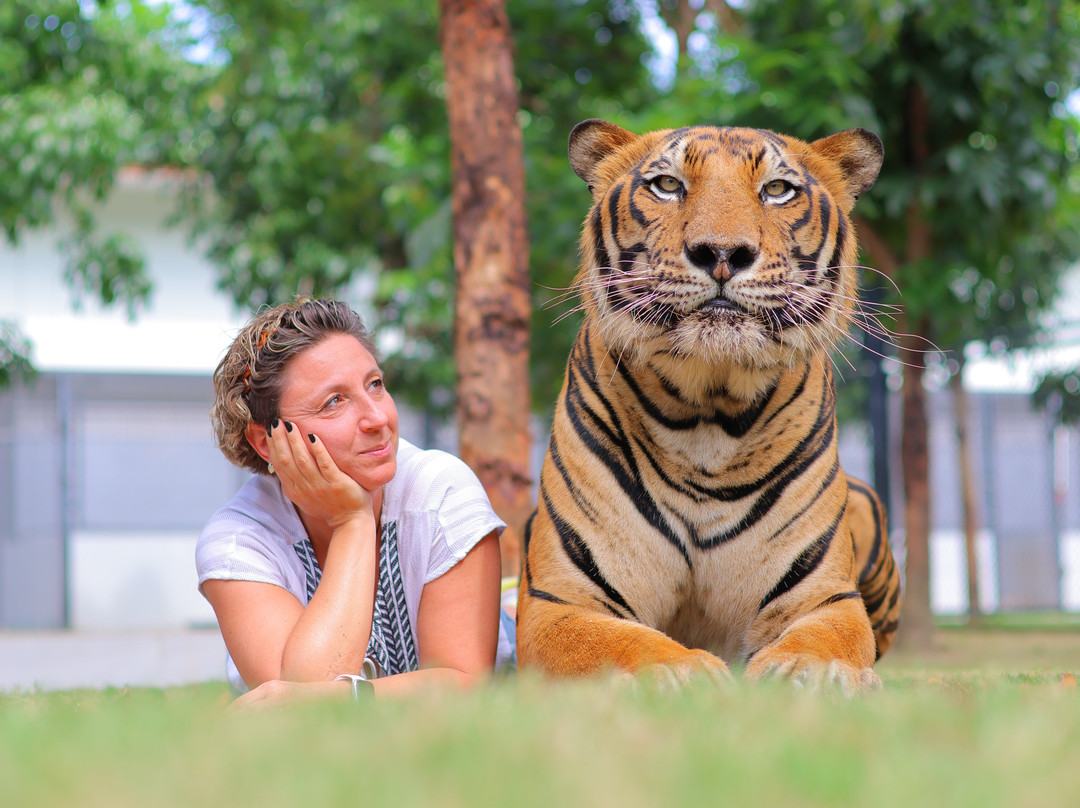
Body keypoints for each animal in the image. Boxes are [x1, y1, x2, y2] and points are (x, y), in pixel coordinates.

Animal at [516, 119, 902, 693]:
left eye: (777, 189)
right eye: (667, 185)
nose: (722, 252)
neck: (707, 415)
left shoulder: (823, 595)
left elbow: (828, 637)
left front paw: (810, 671)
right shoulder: (560, 599)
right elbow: (616, 642)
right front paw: (683, 669)